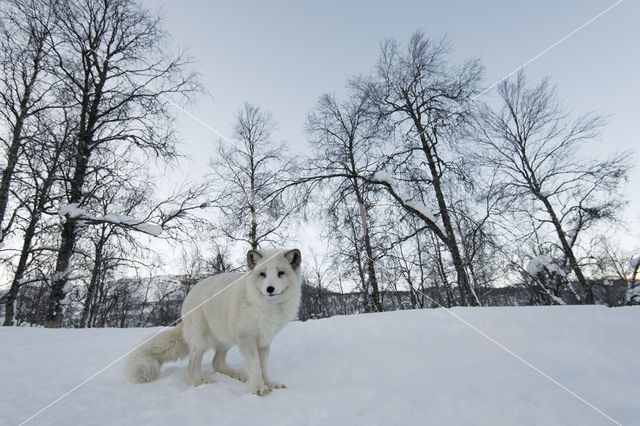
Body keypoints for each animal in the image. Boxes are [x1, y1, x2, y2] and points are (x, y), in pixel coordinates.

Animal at [127, 250, 304, 396]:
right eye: (263, 274)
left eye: (281, 273)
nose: (270, 289)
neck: (264, 306)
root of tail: (189, 295)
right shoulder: (246, 339)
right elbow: (255, 366)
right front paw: (259, 388)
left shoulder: (264, 341)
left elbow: (263, 367)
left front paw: (269, 383)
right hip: (201, 342)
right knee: (192, 366)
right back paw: (201, 383)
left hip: (225, 340)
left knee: (216, 363)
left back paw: (236, 375)